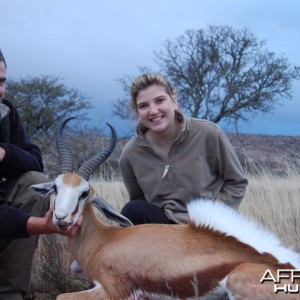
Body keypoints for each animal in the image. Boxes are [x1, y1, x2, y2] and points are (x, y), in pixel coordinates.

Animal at [31, 117, 300, 300]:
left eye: (84, 193)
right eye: (55, 187)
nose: (61, 218)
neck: (104, 241)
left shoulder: (113, 292)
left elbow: (59, 295)